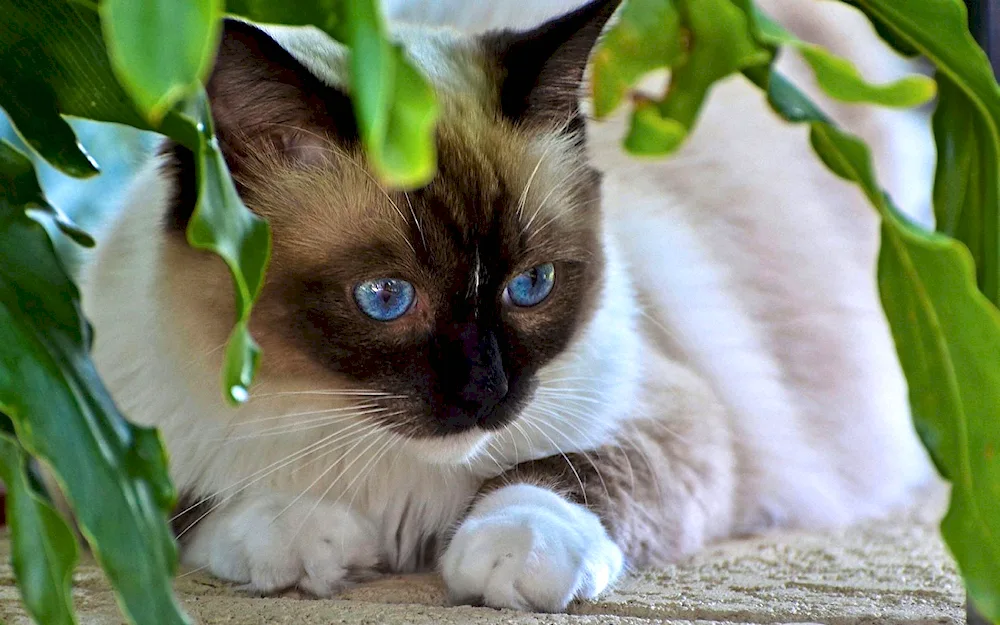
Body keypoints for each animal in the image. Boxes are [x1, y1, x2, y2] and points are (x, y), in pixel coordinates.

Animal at [78, 0, 928, 616]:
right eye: (385, 297)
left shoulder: (671, 413)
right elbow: (198, 510)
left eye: (531, 285)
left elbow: (563, 472)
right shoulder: (99, 450)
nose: (487, 391)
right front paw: (300, 534)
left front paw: (513, 551)